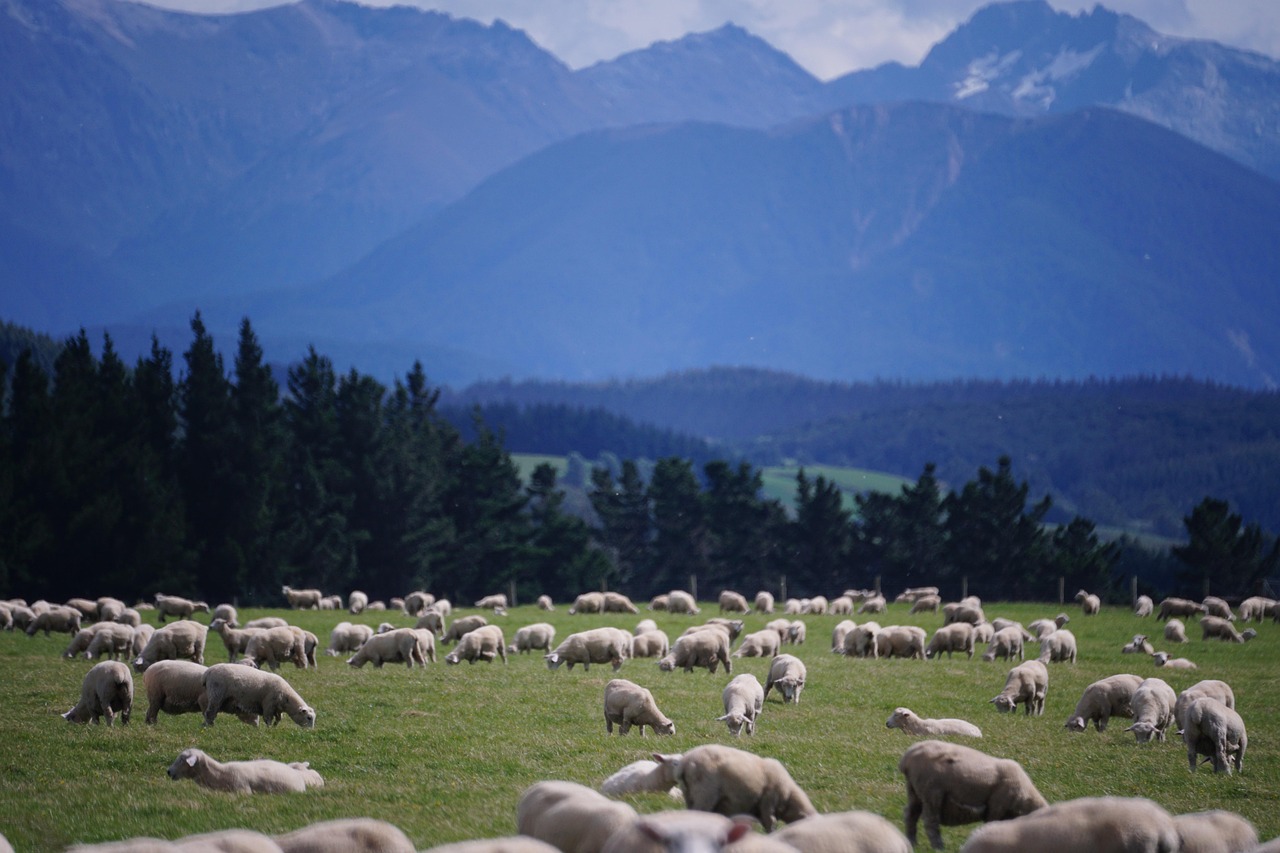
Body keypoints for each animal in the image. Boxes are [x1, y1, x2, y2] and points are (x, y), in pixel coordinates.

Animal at [674, 743, 817, 831]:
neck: (788, 797)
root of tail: (685, 763)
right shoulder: (768, 803)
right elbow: (771, 824)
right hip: (704, 794)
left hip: (689, 794)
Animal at [898, 739, 1046, 850]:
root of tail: (907, 758)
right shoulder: (997, 806)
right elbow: (991, 824)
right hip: (931, 791)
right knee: (930, 821)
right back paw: (939, 848)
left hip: (914, 792)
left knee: (910, 815)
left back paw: (912, 843)